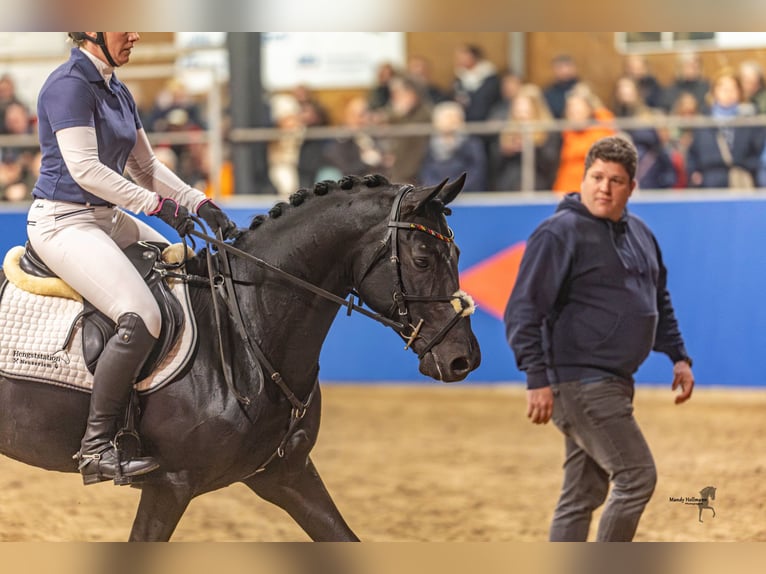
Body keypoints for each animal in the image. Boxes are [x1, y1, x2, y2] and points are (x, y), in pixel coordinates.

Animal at [0, 174, 484, 540]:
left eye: (457, 252)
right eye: (422, 259)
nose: (463, 360)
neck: (244, 327)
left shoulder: (285, 474)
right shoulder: (169, 486)